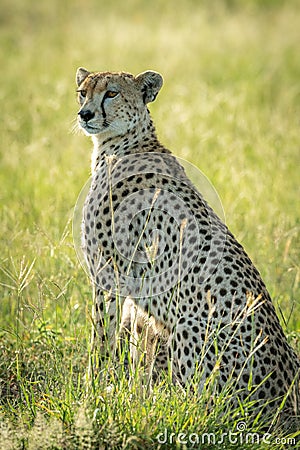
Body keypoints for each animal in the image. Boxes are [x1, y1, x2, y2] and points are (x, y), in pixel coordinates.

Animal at [75, 67, 300, 428]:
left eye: (111, 93)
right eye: (83, 92)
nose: (85, 114)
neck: (122, 144)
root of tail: (287, 400)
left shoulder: (108, 270)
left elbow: (103, 337)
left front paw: (93, 392)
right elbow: (133, 342)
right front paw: (126, 397)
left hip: (189, 328)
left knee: (207, 409)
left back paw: (167, 409)